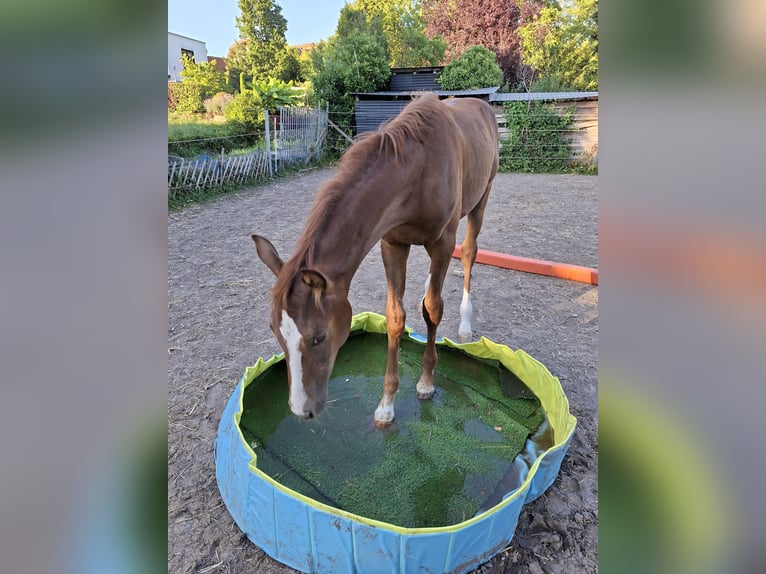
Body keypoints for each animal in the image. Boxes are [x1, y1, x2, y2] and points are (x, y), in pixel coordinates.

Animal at [253, 93, 499, 427]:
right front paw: (387, 404)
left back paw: (464, 322)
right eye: (274, 331)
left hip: (480, 202)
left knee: (469, 255)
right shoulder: (392, 244)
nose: (302, 410)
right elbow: (395, 318)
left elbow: (434, 310)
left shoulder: (442, 243)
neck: (417, 172)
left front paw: (426, 383)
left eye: (319, 337)